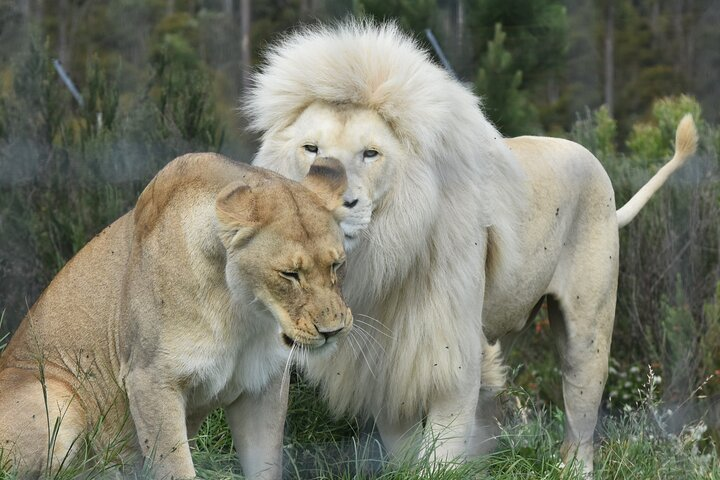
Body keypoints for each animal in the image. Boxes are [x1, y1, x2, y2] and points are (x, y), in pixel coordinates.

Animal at [0, 153, 352, 479]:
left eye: (337, 265)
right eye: (289, 274)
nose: (333, 331)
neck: (240, 308)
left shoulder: (261, 383)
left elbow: (265, 464)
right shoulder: (150, 379)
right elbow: (175, 467)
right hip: (55, 397)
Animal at [245, 22, 698, 473]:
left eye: (370, 153)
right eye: (311, 149)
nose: (333, 205)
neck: (384, 257)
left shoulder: (451, 355)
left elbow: (443, 452)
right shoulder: (383, 362)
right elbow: (404, 451)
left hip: (588, 333)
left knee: (581, 424)